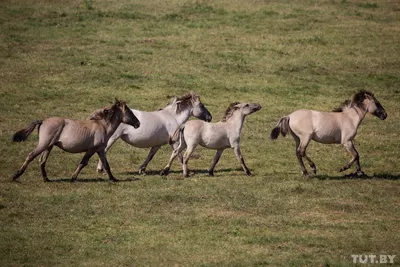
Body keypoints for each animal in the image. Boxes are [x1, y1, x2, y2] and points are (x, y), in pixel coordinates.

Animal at [11, 99, 141, 183]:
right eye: (130, 112)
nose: (138, 124)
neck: (103, 126)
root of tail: (43, 121)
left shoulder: (100, 150)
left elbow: (106, 165)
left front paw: (114, 179)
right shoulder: (92, 149)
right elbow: (83, 162)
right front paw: (73, 178)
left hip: (49, 146)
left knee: (42, 161)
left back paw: (46, 179)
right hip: (44, 144)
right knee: (31, 156)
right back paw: (16, 176)